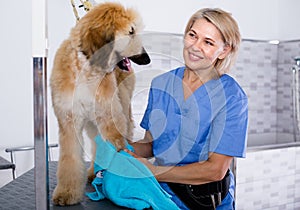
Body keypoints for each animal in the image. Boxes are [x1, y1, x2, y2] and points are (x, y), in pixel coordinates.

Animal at [50, 2, 152, 206]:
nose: (146, 58)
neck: (86, 69)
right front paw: (67, 192)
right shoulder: (69, 121)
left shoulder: (109, 116)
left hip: (120, 107)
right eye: (131, 31)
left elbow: (116, 144)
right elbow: (70, 158)